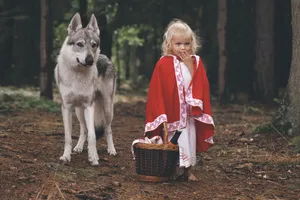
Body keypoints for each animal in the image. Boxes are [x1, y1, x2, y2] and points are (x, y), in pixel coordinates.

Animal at [54, 12, 116, 166]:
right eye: (80, 44)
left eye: (93, 45)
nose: (90, 60)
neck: (78, 74)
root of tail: (105, 56)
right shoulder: (67, 107)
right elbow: (68, 136)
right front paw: (66, 156)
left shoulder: (89, 106)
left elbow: (93, 135)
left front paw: (93, 157)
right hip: (78, 111)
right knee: (84, 130)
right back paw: (79, 147)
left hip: (107, 108)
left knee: (108, 129)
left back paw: (111, 150)